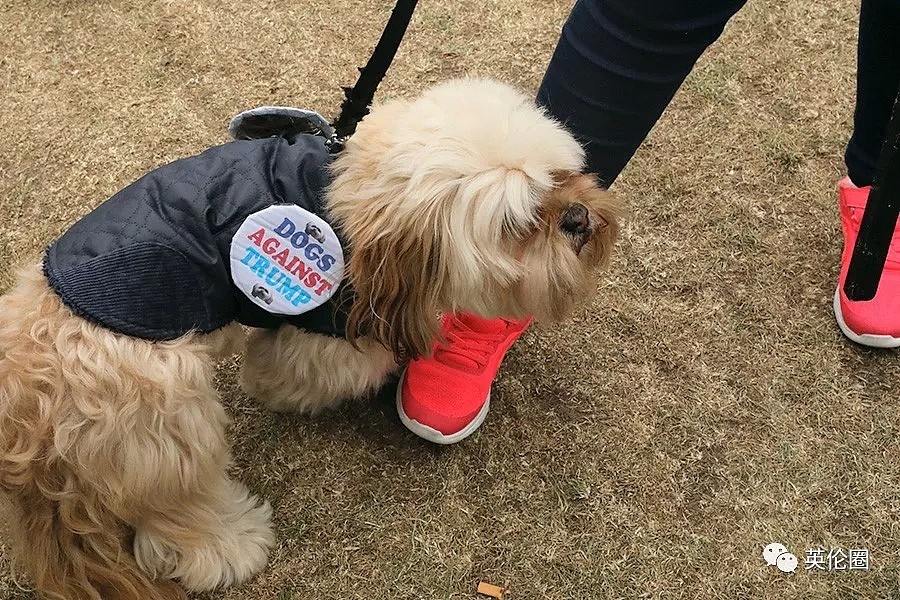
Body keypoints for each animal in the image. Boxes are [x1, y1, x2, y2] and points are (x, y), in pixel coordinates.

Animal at [0, 77, 624, 596]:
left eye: (560, 177)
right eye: (518, 225)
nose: (578, 218)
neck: (349, 193)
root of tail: (31, 417)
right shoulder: (324, 327)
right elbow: (303, 369)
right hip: (168, 433)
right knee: (177, 524)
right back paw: (236, 543)